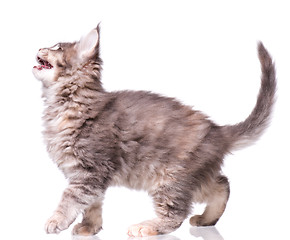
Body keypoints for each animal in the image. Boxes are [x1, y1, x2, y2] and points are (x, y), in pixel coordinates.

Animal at [32, 25, 276, 237]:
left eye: (56, 47)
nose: (39, 47)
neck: (67, 105)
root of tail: (217, 131)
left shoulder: (90, 171)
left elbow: (70, 198)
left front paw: (56, 220)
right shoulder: (91, 176)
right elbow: (92, 204)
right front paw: (90, 228)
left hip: (170, 179)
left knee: (176, 215)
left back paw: (147, 227)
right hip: (194, 178)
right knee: (222, 184)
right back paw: (206, 219)